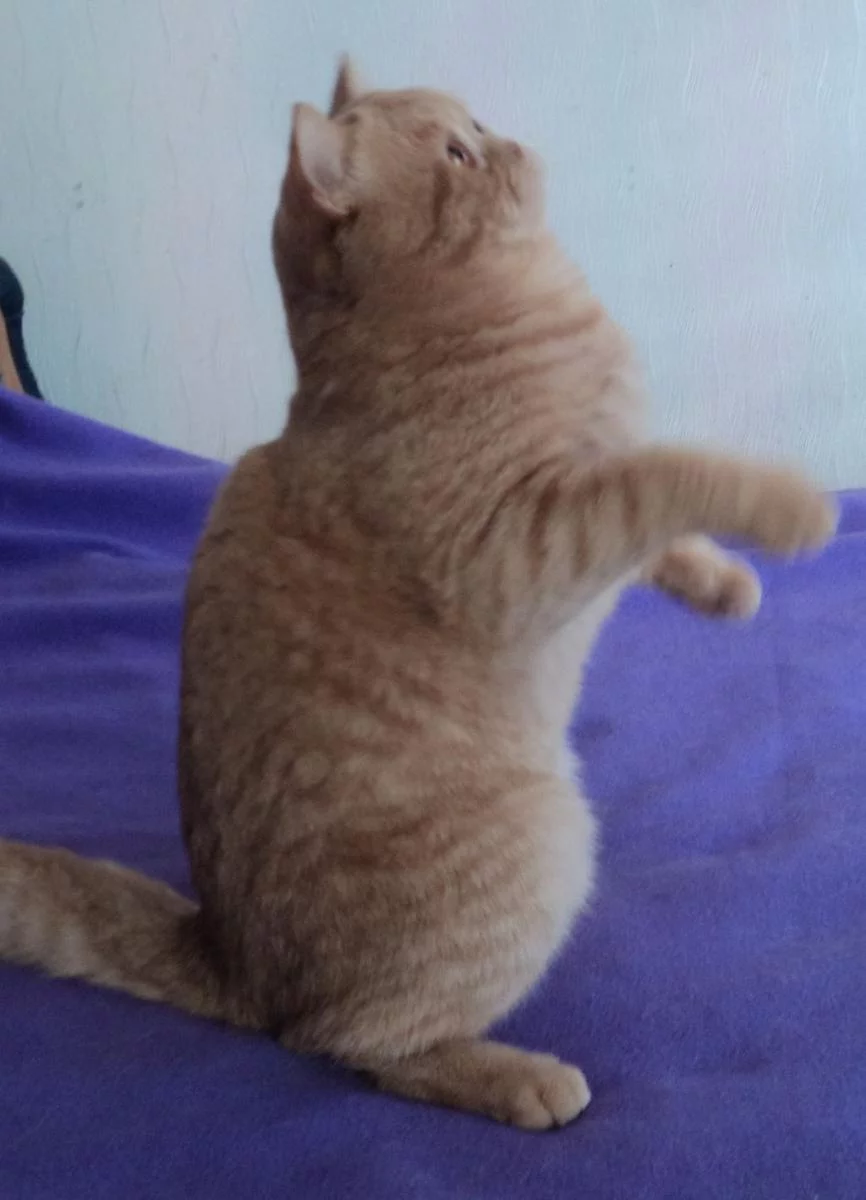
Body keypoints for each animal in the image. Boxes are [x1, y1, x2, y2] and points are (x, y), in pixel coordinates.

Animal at [0, 59, 835, 1130]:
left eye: (475, 123)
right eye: (455, 154)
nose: (512, 143)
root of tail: (234, 961)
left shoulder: (584, 506)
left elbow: (656, 528)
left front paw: (724, 584)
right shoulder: (528, 546)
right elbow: (666, 474)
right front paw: (787, 508)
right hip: (542, 843)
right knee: (352, 1041)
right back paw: (519, 1078)